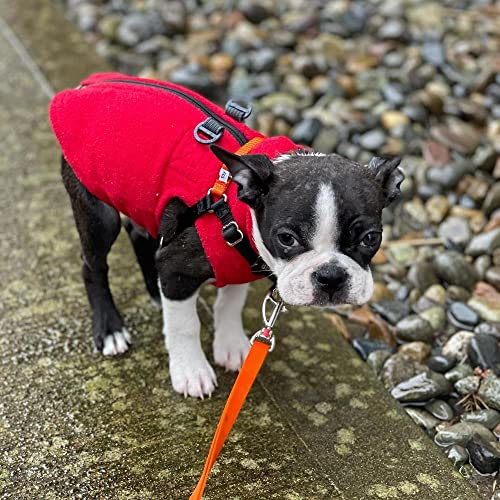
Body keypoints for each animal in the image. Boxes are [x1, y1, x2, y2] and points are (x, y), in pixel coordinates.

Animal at [49, 71, 402, 398]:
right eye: (286, 238)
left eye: (371, 238)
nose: (330, 277)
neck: (234, 209)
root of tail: (87, 86)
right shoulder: (178, 268)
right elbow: (185, 325)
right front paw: (191, 370)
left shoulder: (239, 262)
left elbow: (230, 304)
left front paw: (231, 345)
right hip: (97, 212)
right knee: (94, 264)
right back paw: (110, 328)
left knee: (140, 234)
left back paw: (155, 291)